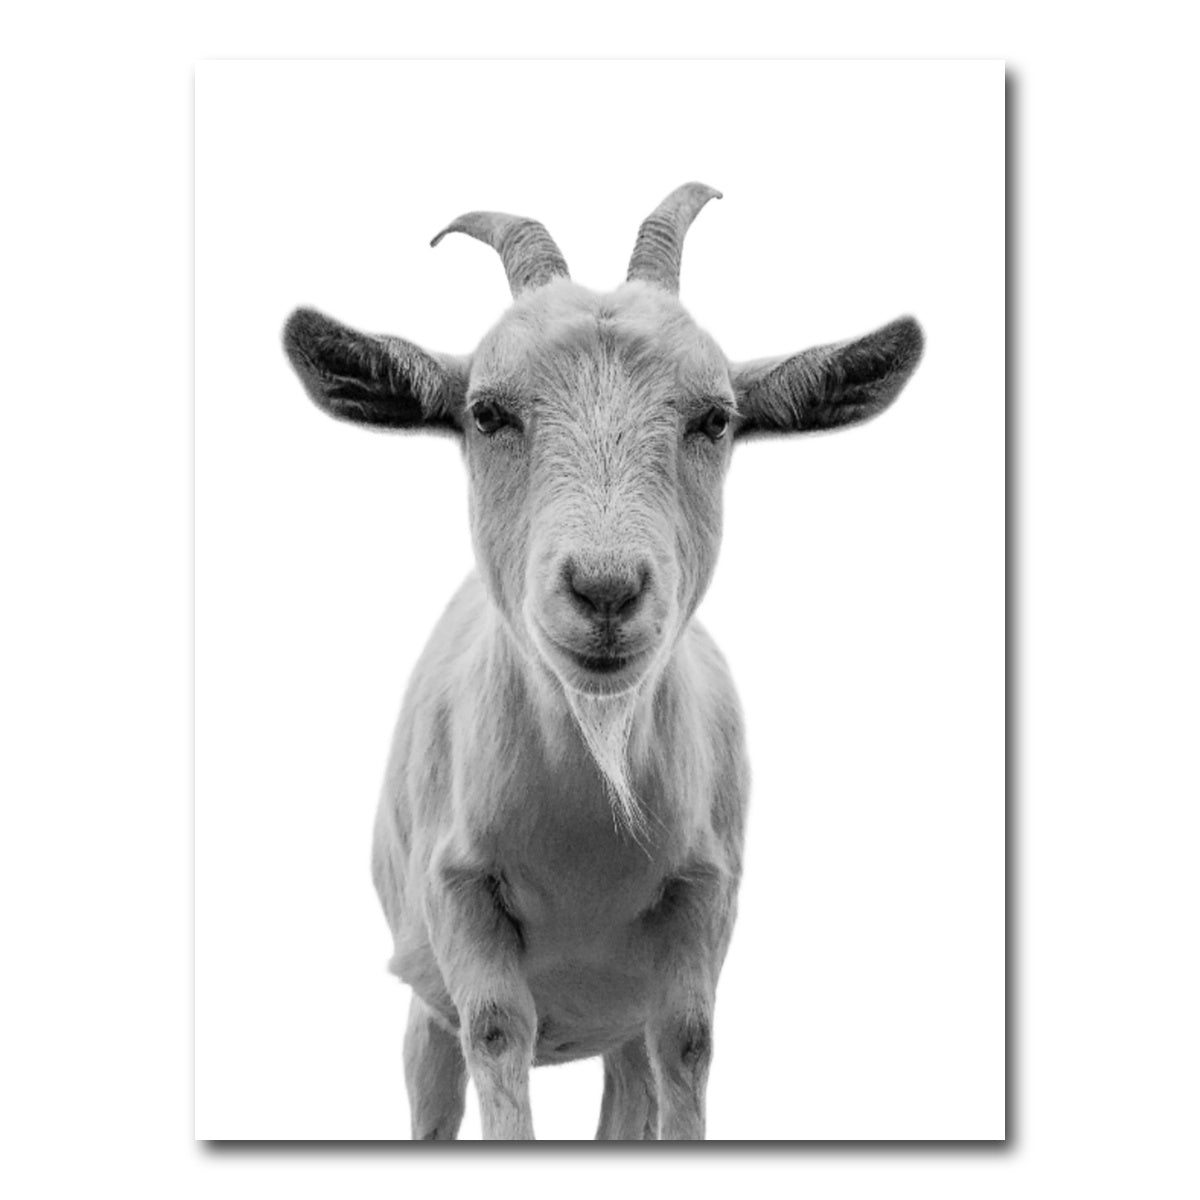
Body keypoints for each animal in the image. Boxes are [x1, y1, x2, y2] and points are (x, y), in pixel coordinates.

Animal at [282, 183, 923, 1140]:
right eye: (487, 412)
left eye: (716, 418)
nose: (606, 589)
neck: (590, 819)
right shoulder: (459, 897)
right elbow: (496, 1032)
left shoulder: (702, 901)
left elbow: (687, 1044)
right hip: (423, 1006)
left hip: (616, 1025)